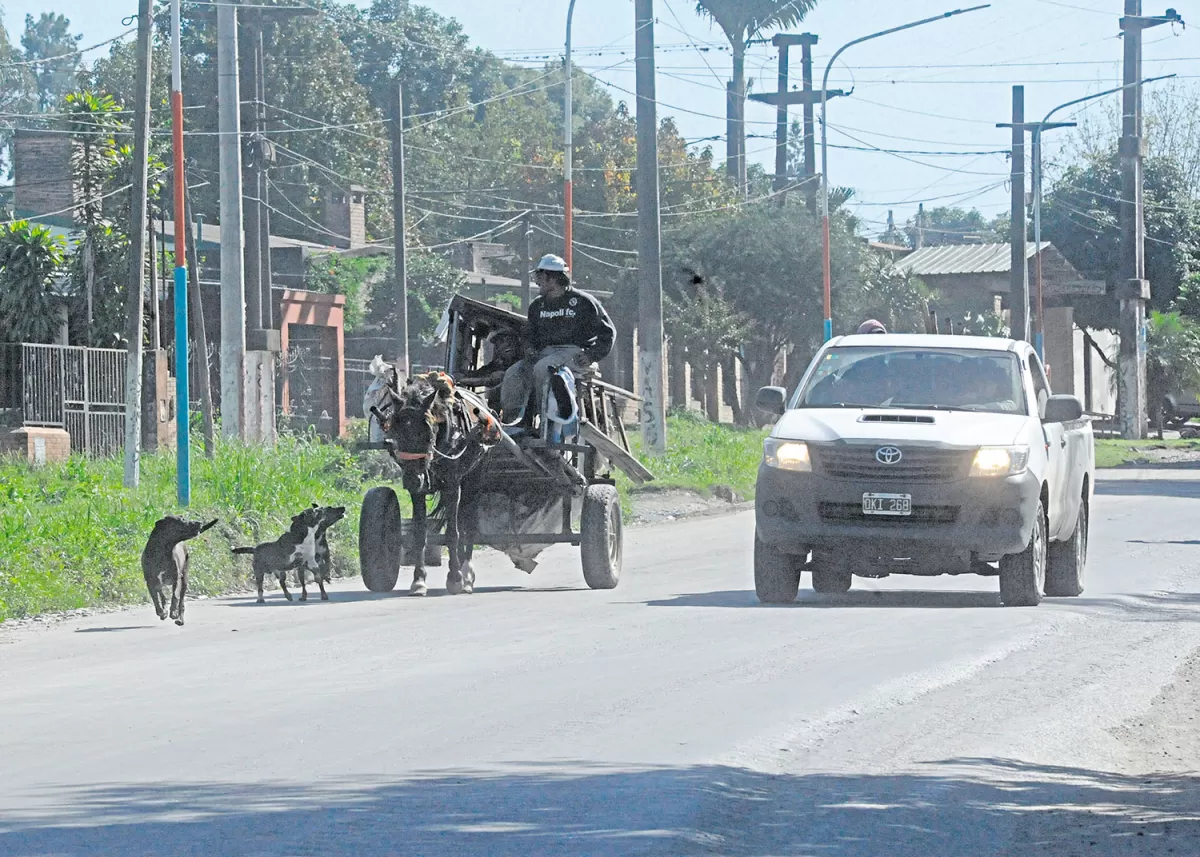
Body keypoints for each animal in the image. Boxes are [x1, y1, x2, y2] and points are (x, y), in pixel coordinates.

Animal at [369, 367, 501, 595]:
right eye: (395, 431)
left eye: (428, 431)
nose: (413, 479)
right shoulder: (418, 491)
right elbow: (419, 533)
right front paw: (419, 579)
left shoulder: (453, 485)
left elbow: (452, 533)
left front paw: (455, 577)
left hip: (474, 479)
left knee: (469, 523)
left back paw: (467, 574)